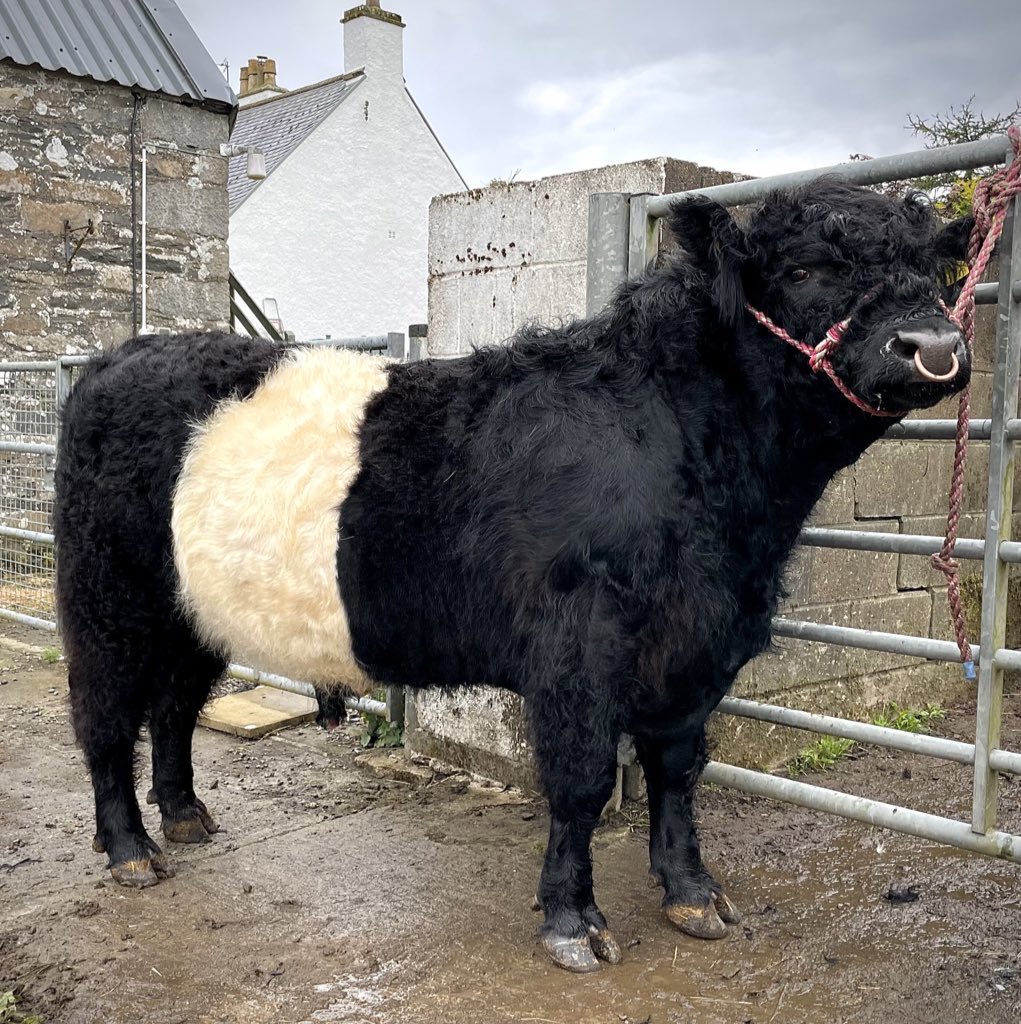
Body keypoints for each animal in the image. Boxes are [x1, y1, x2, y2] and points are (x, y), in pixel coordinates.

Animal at [54, 177, 972, 973]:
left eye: (933, 271)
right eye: (804, 269)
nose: (931, 347)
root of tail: (120, 357)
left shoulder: (697, 646)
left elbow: (678, 770)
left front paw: (692, 895)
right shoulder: (577, 650)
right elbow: (580, 779)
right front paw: (574, 922)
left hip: (192, 608)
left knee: (175, 706)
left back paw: (185, 815)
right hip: (106, 600)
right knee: (106, 717)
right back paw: (131, 848)